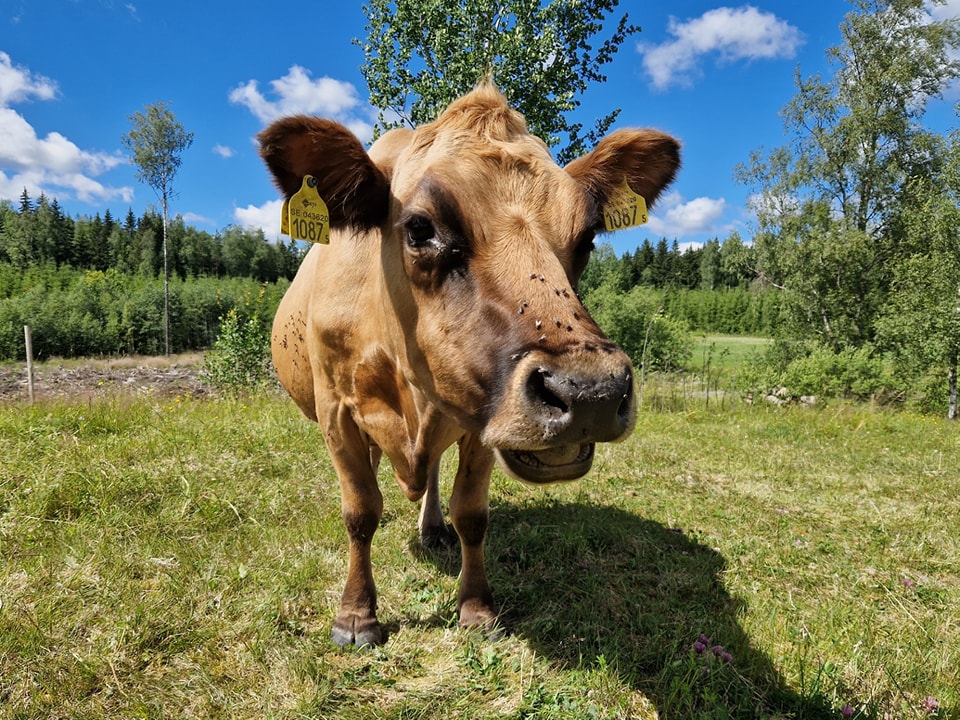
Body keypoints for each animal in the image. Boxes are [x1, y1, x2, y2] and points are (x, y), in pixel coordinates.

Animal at [258, 84, 680, 648]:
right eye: (419, 229)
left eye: (588, 237)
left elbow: (472, 515)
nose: (592, 394)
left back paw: (431, 526)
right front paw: (356, 616)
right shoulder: (336, 410)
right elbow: (361, 512)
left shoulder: (481, 420)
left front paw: (476, 607)